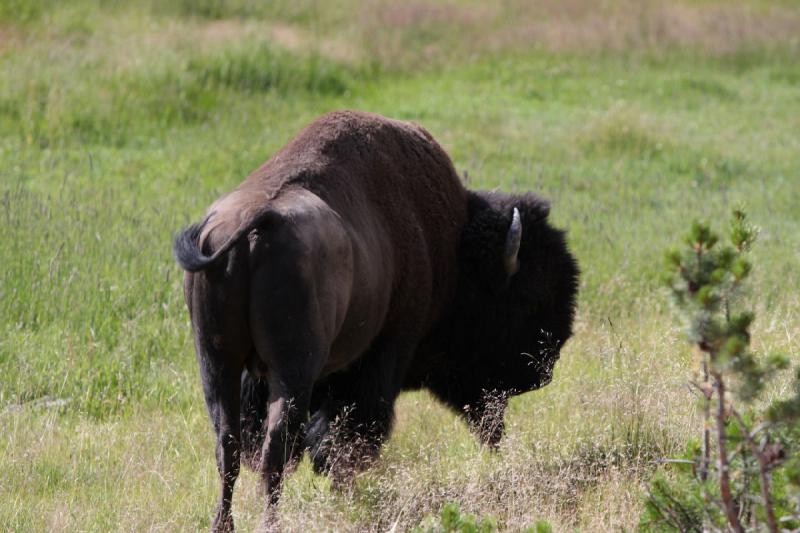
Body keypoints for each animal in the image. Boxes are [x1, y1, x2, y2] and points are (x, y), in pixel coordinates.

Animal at [172, 110, 580, 528]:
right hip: (291, 370)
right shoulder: (386, 351)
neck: (455, 250)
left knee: (229, 446)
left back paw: (224, 523)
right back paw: (272, 522)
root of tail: (254, 223)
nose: (543, 371)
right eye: (529, 296)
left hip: (217, 362)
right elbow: (346, 435)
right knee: (277, 446)